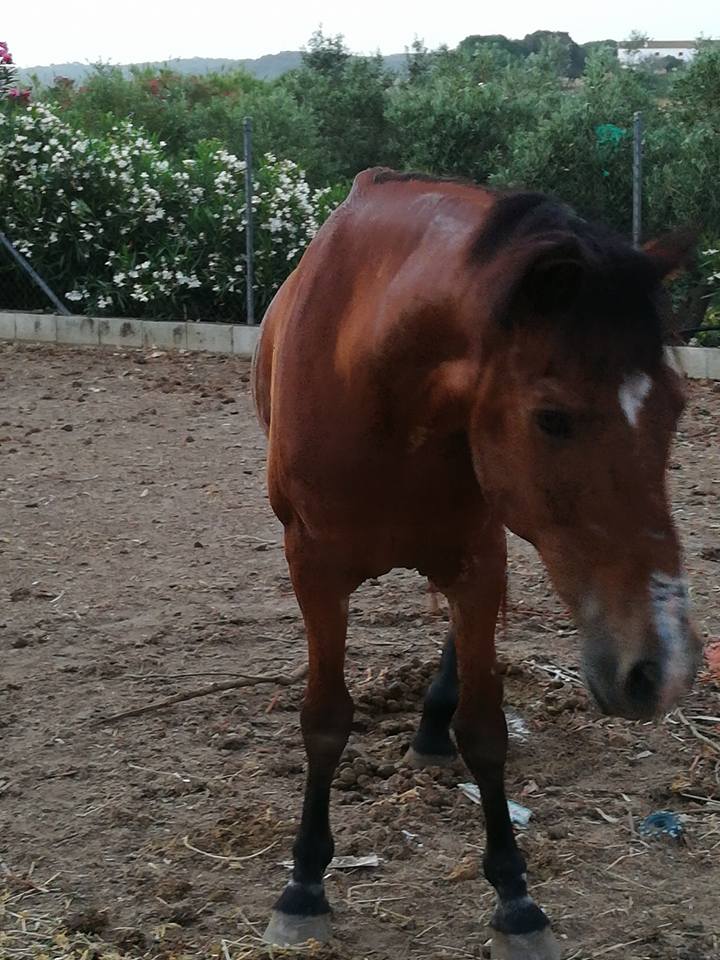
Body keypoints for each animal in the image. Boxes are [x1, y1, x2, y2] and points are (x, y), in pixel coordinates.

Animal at [251, 168, 701, 959]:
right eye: (552, 418)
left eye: (674, 408)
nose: (663, 667)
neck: (377, 376)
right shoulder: (314, 568)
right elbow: (326, 719)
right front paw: (303, 885)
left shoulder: (480, 558)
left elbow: (487, 727)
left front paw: (517, 899)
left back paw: (433, 727)